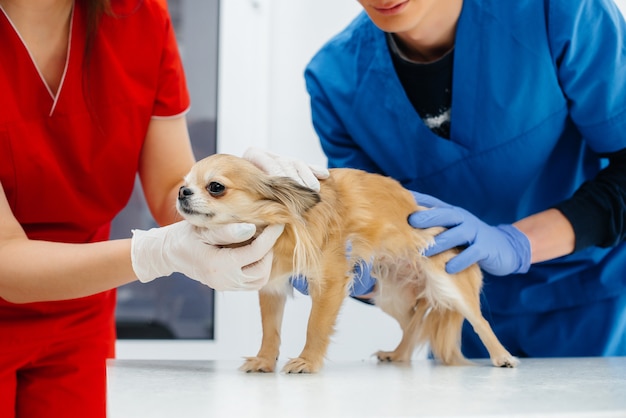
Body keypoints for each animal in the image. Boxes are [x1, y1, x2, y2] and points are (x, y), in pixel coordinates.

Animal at [177, 153, 516, 372]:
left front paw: (308, 361)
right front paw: (264, 360)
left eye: (216, 187)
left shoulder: (330, 283)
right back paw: (398, 354)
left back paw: (502, 357)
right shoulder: (272, 287)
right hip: (391, 296)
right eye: (184, 182)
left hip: (446, 280)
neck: (283, 224)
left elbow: (315, 326)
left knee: (480, 322)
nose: (181, 192)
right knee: (413, 326)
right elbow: (270, 330)